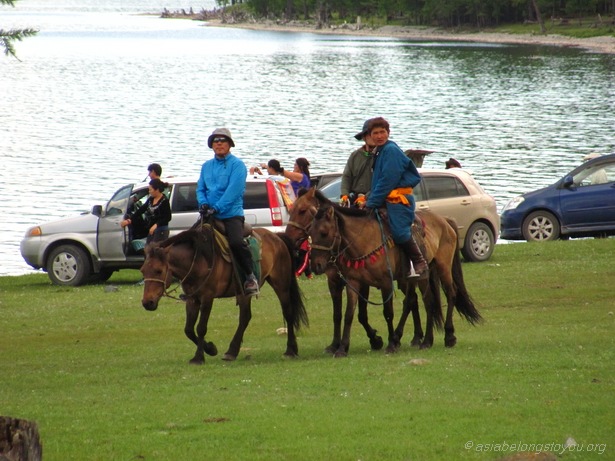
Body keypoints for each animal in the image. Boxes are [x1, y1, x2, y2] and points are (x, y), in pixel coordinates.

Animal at [142, 225, 310, 364]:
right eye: (143, 271)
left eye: (158, 270)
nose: (147, 302)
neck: (198, 260)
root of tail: (276, 237)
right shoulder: (192, 299)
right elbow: (188, 329)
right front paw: (210, 349)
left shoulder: (207, 298)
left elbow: (201, 327)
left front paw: (199, 357)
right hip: (243, 293)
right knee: (245, 317)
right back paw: (232, 351)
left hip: (281, 285)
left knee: (288, 313)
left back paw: (290, 350)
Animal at [310, 194, 484, 352]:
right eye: (311, 232)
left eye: (324, 232)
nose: (315, 265)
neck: (365, 241)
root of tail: (445, 220)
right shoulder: (353, 282)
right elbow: (348, 314)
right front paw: (342, 348)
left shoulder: (386, 283)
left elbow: (387, 313)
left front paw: (390, 344)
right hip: (420, 277)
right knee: (425, 301)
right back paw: (425, 340)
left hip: (443, 267)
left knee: (450, 294)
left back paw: (448, 335)